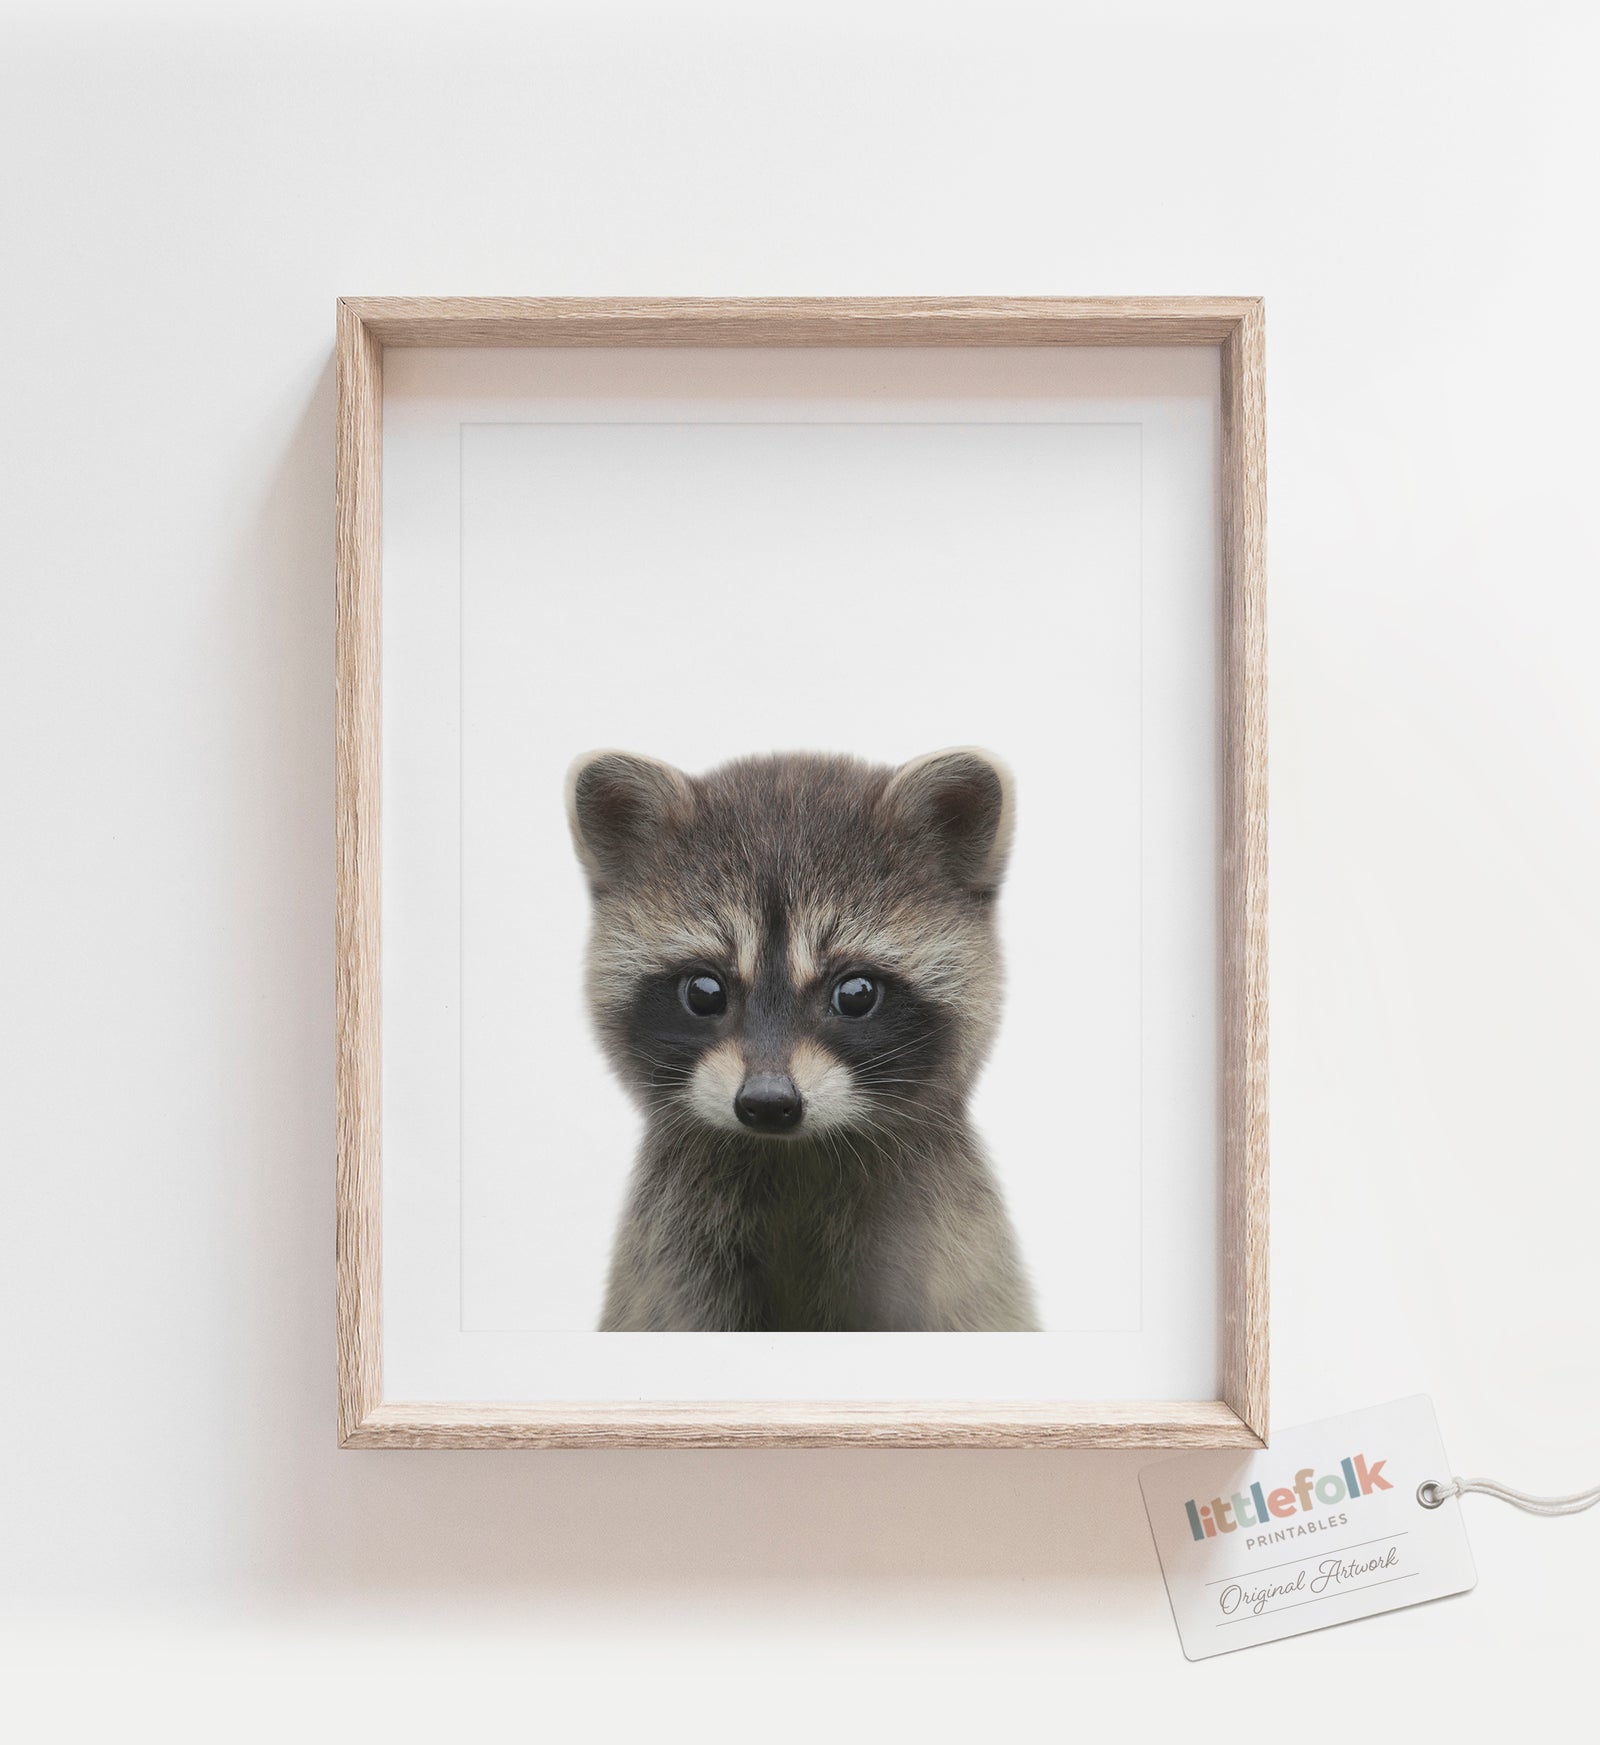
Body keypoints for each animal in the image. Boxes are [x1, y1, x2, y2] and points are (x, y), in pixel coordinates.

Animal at [566, 746, 1038, 1333]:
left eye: (856, 994)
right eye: (703, 992)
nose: (768, 1102)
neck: (792, 1156)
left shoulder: (950, 1258)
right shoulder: (676, 1256)